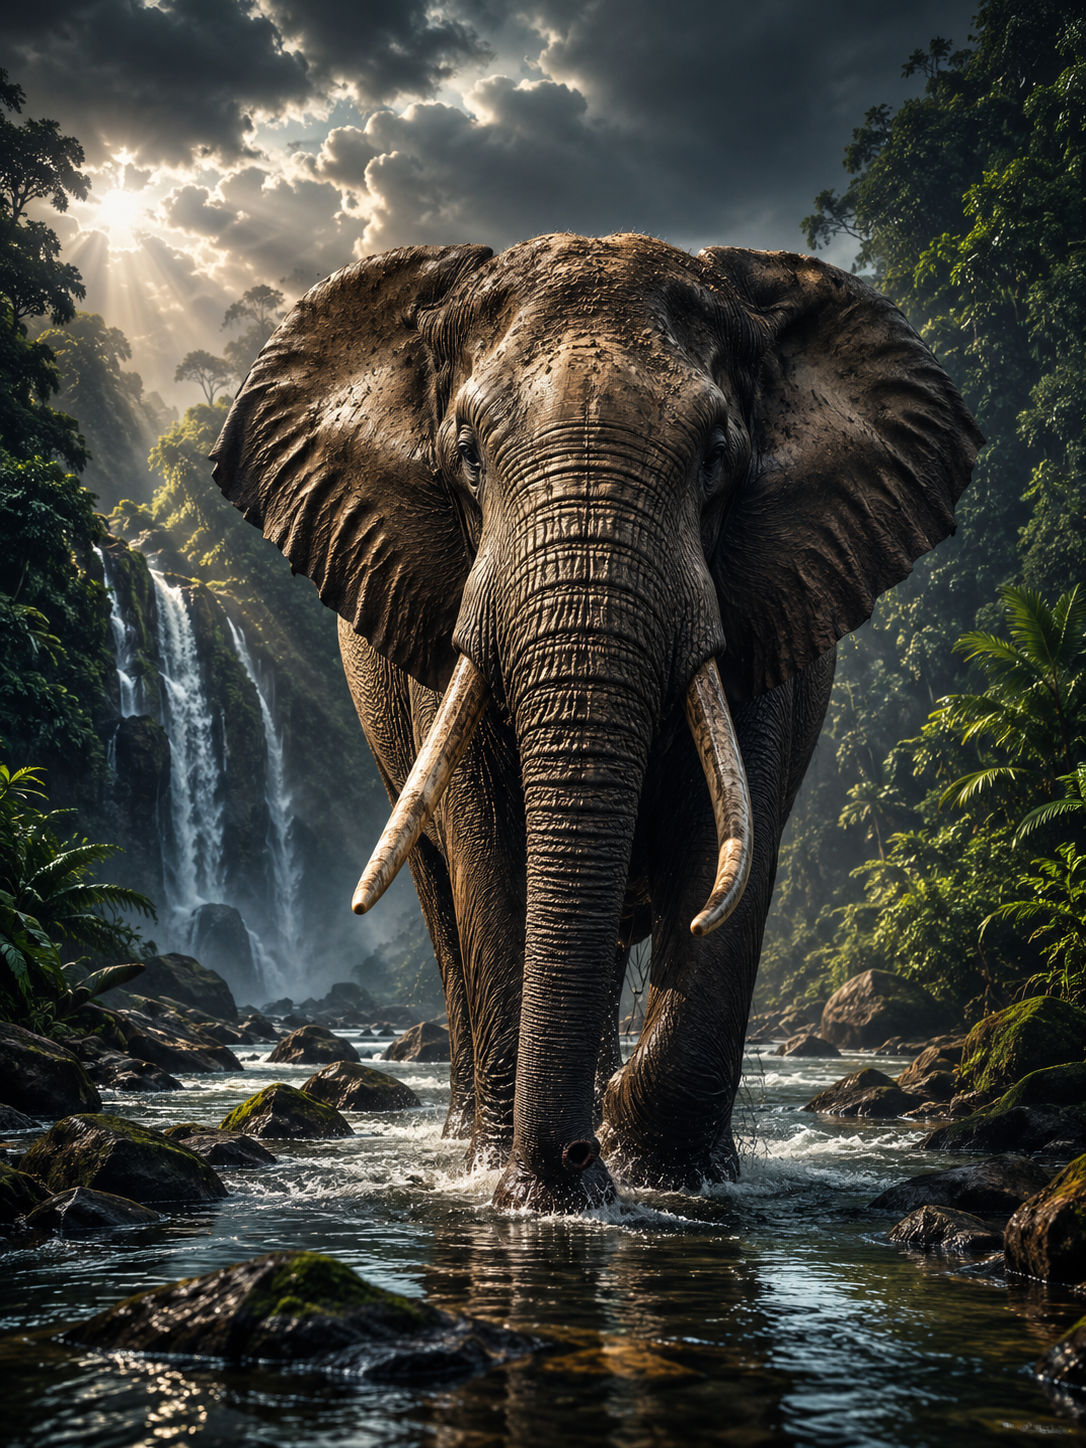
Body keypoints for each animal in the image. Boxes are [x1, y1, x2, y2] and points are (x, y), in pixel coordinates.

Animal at [210, 232, 981, 1212]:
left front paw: (659, 1172)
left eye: (716, 454)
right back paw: (469, 1138)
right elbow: (491, 854)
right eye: (466, 452)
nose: (575, 1158)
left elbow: (726, 846)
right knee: (443, 897)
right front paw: (528, 1187)